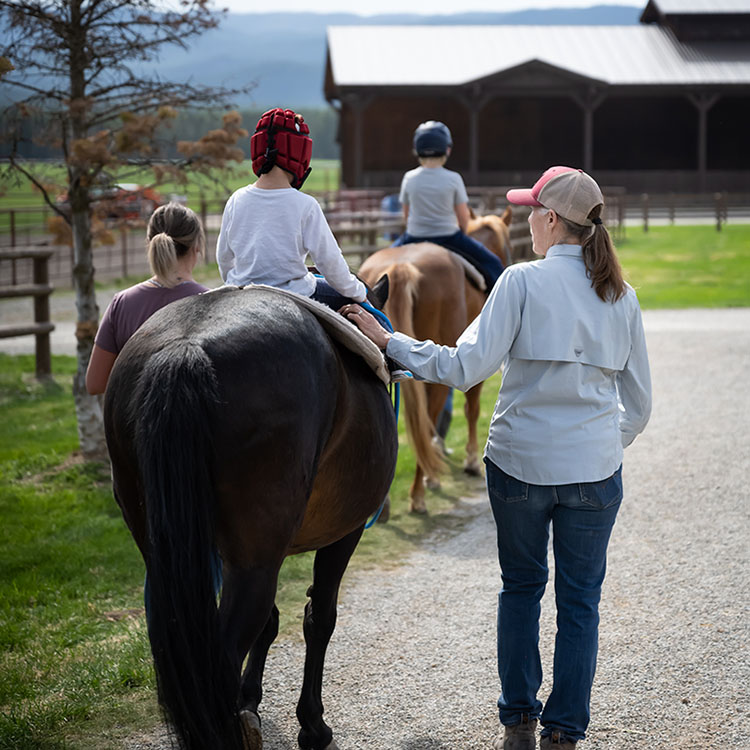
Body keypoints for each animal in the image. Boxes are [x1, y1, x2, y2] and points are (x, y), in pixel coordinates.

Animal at [106, 284, 402, 748]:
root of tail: (185, 347)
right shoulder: (344, 532)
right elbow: (319, 617)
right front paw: (312, 725)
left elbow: (272, 622)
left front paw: (251, 702)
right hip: (255, 560)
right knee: (219, 659)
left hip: (168, 551)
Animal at [360, 210, 516, 516]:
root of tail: (401, 266)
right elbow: (472, 409)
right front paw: (470, 461)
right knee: (428, 419)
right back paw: (419, 493)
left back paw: (385, 503)